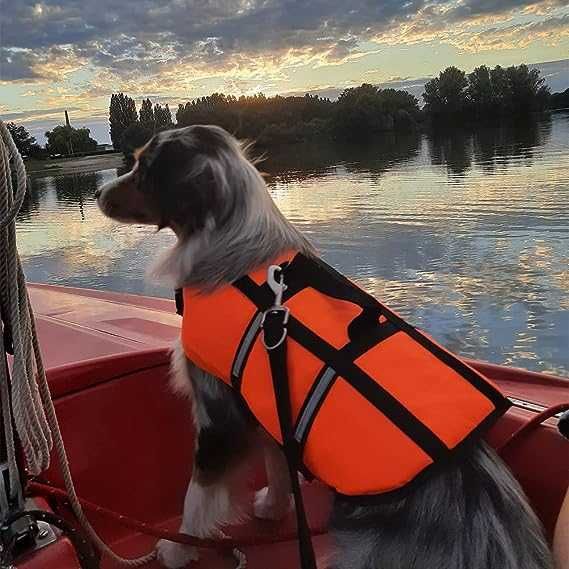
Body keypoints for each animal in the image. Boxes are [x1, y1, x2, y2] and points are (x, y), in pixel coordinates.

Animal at [96, 125, 552, 568]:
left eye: (144, 170)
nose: (99, 194)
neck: (234, 248)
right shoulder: (266, 401)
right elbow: (277, 469)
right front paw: (273, 509)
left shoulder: (218, 416)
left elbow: (195, 500)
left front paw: (176, 552)